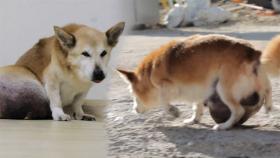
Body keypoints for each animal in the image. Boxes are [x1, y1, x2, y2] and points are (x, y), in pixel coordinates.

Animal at [118, 34, 272, 130]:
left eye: (133, 95)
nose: (134, 110)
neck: (149, 72)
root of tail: (252, 52)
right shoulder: (199, 89)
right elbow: (196, 106)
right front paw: (193, 120)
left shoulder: (168, 86)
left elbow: (163, 100)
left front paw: (173, 111)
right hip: (260, 81)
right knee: (268, 91)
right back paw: (268, 107)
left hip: (223, 88)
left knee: (238, 110)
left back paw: (224, 126)